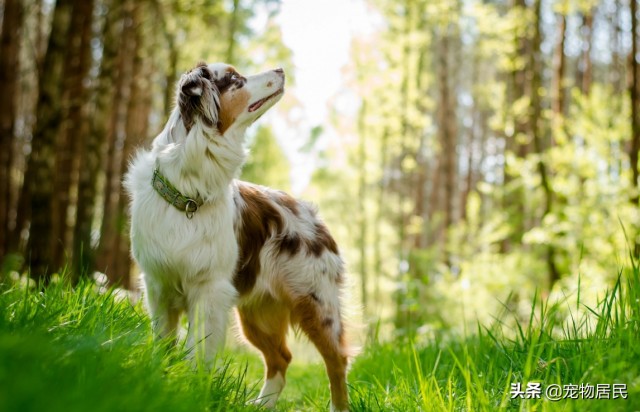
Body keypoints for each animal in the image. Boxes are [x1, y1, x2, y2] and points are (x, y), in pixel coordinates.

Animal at [124, 62, 350, 410]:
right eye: (235, 79)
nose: (281, 69)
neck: (188, 191)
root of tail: (314, 215)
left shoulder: (210, 290)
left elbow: (196, 352)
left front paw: (190, 391)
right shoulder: (158, 286)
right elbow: (164, 345)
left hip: (316, 304)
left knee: (337, 361)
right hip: (257, 314)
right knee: (281, 357)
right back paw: (261, 404)